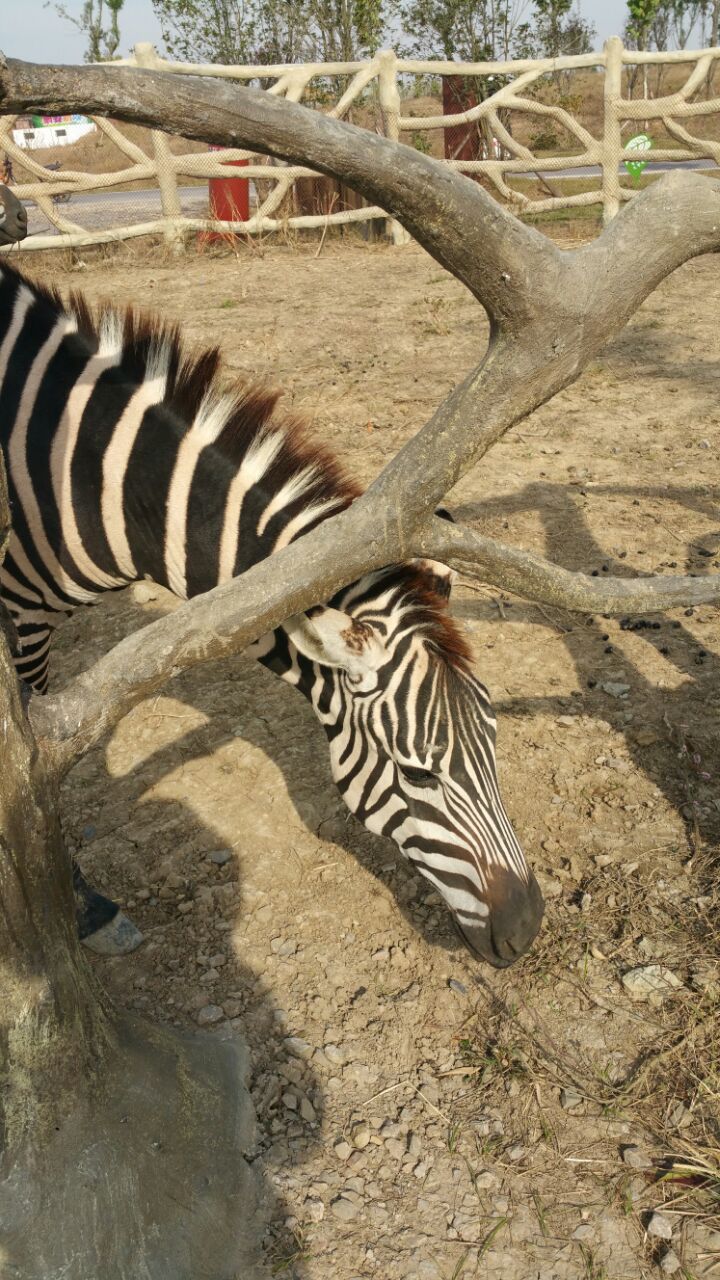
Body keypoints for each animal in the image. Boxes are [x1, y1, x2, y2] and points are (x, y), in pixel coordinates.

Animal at [0, 249, 540, 967]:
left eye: (494, 738)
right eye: (416, 775)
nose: (527, 929)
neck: (88, 477)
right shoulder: (20, 616)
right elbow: (36, 777)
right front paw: (82, 902)